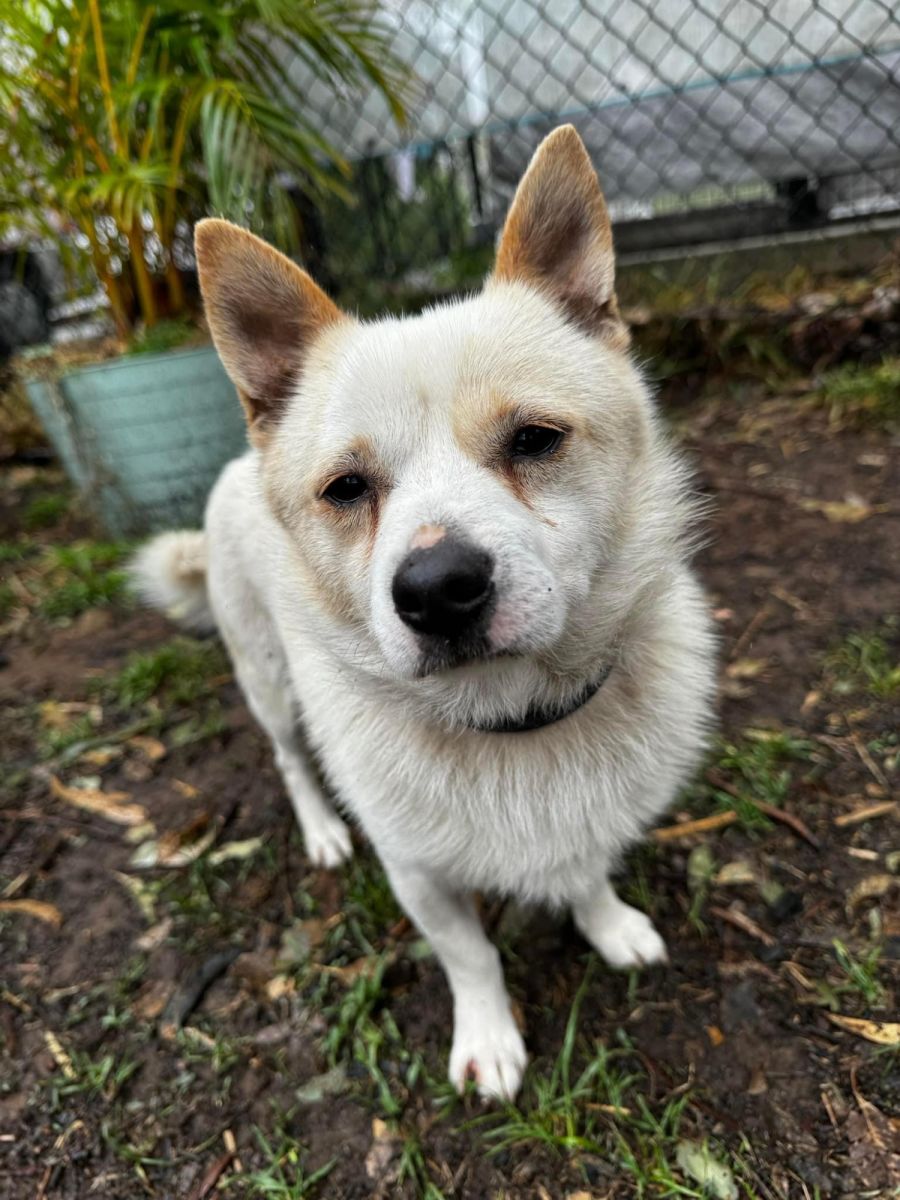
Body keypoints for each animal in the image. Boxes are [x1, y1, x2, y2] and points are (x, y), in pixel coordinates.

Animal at [132, 129, 720, 1099]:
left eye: (535, 439)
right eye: (345, 488)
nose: (437, 588)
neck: (514, 723)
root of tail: (234, 460)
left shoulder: (593, 816)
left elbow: (588, 873)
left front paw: (609, 926)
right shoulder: (418, 876)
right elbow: (469, 956)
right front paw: (489, 1038)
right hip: (268, 681)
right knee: (289, 758)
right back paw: (322, 831)